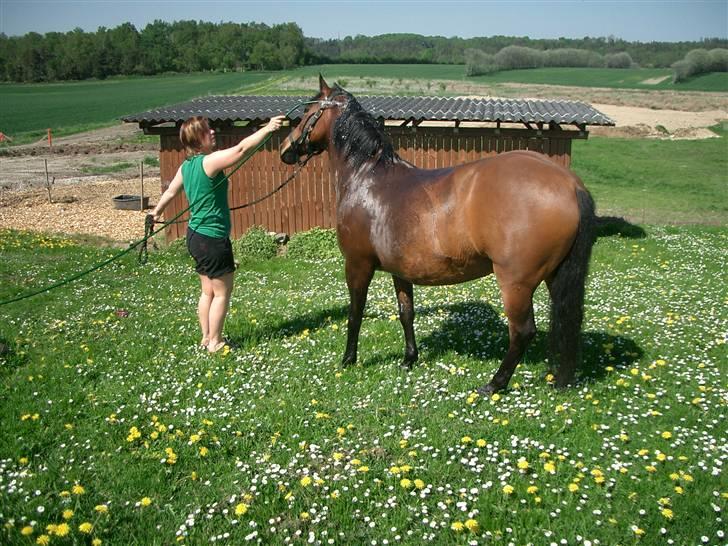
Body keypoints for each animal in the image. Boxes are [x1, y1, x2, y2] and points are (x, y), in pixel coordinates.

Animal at [282, 76, 596, 392]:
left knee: (523, 331)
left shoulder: (357, 264)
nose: (286, 149)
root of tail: (570, 183)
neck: (367, 177)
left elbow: (355, 313)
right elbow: (406, 312)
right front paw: (409, 359)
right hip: (554, 275)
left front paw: (348, 359)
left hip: (515, 282)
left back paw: (494, 384)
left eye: (306, 112)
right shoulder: (400, 271)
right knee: (563, 321)